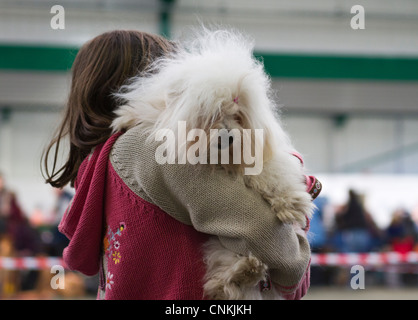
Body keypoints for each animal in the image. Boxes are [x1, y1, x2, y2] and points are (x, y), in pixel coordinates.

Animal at [112, 27, 316, 300]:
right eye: (210, 115)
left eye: (238, 116)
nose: (228, 136)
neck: (221, 160)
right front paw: (126, 117)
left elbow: (272, 174)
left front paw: (291, 204)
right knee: (224, 273)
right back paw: (242, 273)